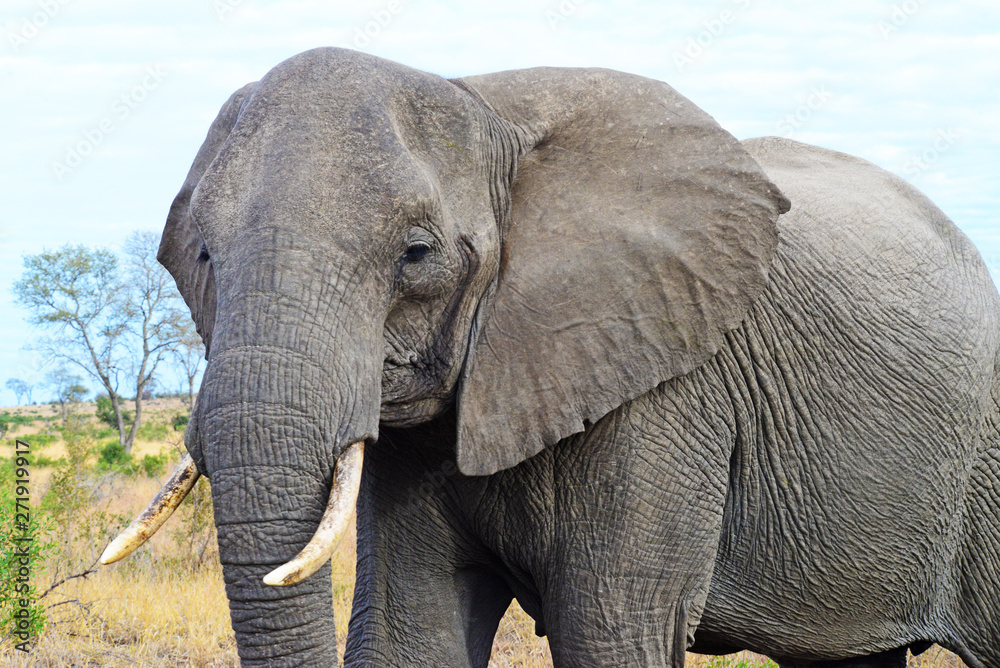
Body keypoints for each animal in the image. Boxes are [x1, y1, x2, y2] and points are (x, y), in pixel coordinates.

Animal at [100, 47, 1000, 667]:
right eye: (201, 257)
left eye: (417, 255)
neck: (481, 105)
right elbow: (410, 634)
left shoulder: (667, 386)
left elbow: (611, 630)